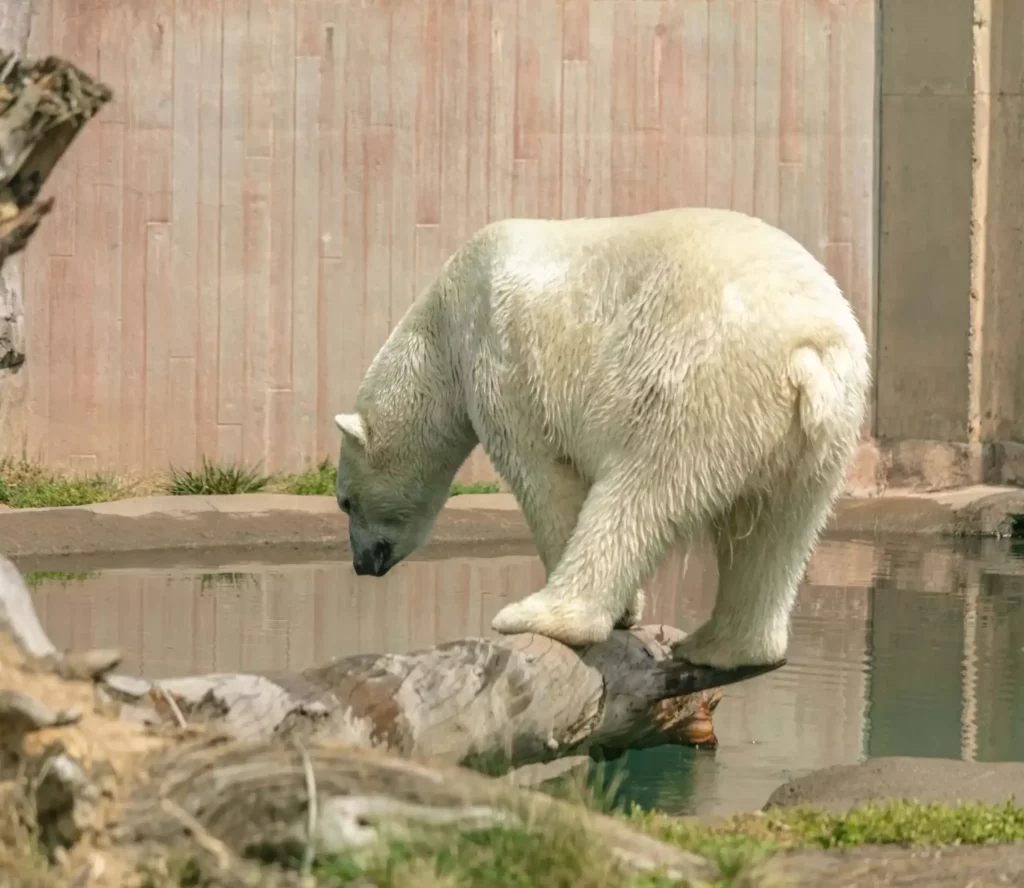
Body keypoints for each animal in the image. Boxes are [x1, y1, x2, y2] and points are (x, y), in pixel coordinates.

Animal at [333, 207, 870, 672]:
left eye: (344, 501)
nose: (359, 564)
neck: (441, 324)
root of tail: (807, 348)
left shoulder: (500, 360)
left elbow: (544, 480)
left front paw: (623, 611)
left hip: (692, 375)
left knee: (640, 491)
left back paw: (541, 614)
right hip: (821, 433)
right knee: (777, 528)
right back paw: (723, 645)